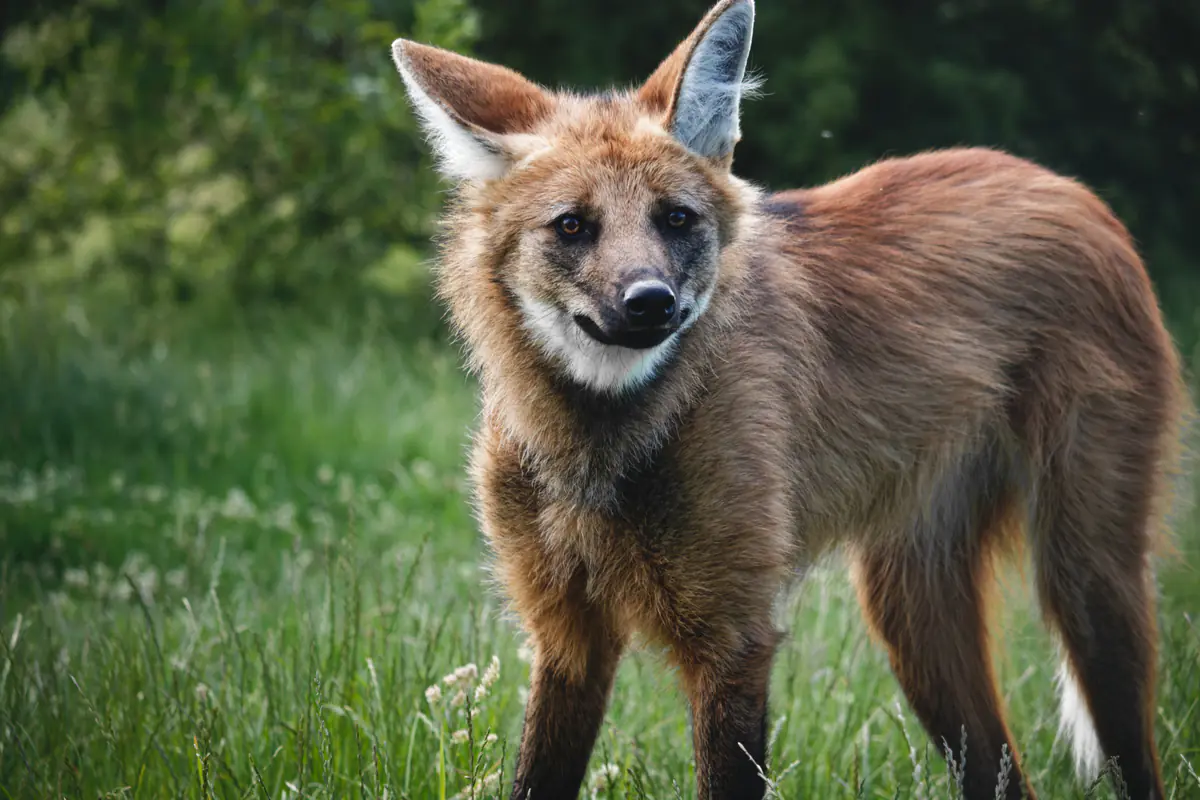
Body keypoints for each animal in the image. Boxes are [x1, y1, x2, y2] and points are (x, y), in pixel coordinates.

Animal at [389, 2, 1188, 797]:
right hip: (913, 611)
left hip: (1086, 583)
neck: (602, 441)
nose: (651, 302)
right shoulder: (567, 637)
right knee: (1001, 774)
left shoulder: (733, 637)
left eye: (675, 219)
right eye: (572, 225)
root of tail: (1066, 187)